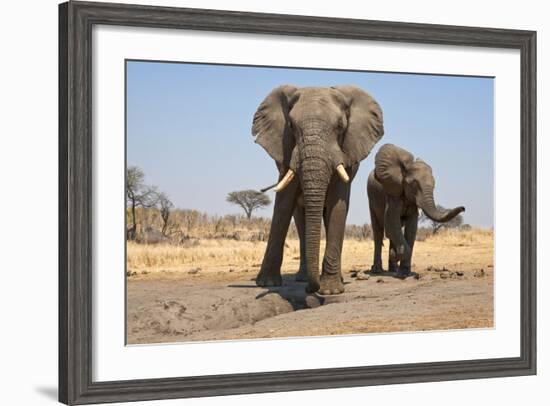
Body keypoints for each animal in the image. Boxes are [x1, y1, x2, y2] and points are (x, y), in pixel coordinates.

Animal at [253, 86, 384, 294]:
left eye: (340, 126)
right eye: (291, 126)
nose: (310, 289)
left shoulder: (346, 152)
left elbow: (338, 204)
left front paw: (330, 290)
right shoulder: (287, 151)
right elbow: (283, 204)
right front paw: (267, 284)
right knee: (301, 219)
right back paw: (302, 278)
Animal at [368, 144, 468, 280]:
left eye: (434, 185)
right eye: (414, 184)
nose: (463, 208)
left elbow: (411, 228)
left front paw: (404, 273)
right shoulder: (393, 194)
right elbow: (391, 223)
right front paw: (398, 258)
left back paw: (393, 269)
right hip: (371, 197)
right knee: (378, 231)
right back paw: (377, 270)